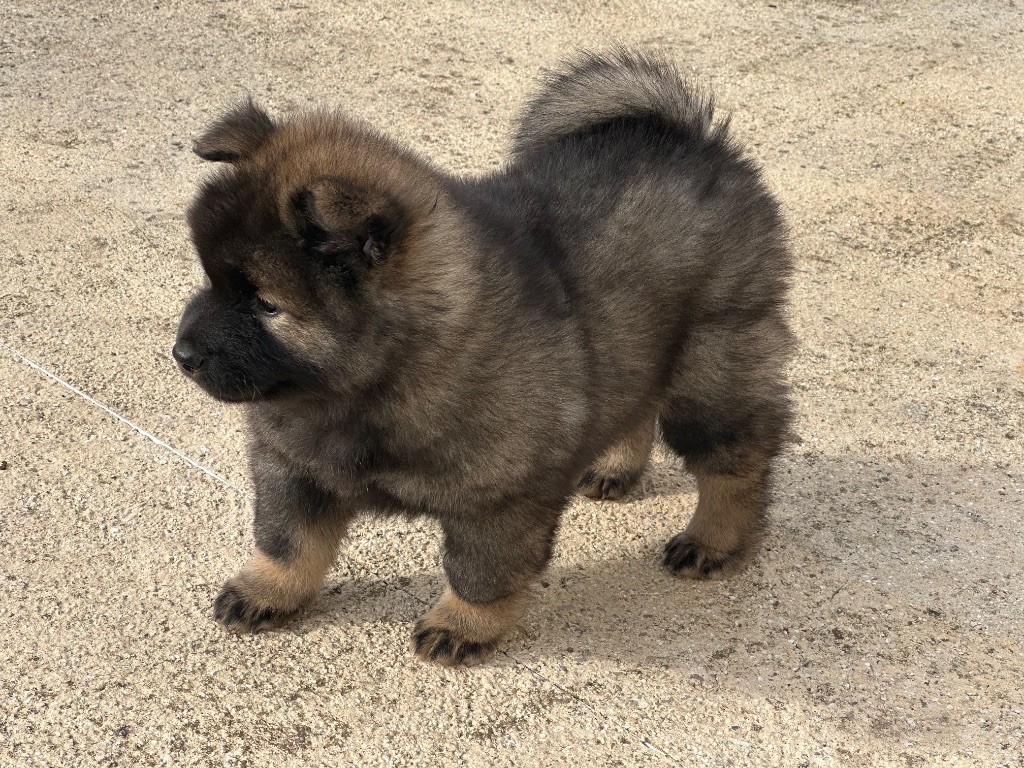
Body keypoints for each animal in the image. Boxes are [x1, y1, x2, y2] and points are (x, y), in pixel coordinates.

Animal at [173, 49, 794, 666]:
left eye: (265, 303)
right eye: (212, 280)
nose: (181, 353)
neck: (373, 382)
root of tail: (691, 138)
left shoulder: (498, 498)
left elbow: (480, 572)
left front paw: (463, 625)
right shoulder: (293, 464)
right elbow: (287, 540)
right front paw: (265, 591)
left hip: (711, 368)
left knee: (737, 459)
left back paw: (712, 540)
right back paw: (614, 467)